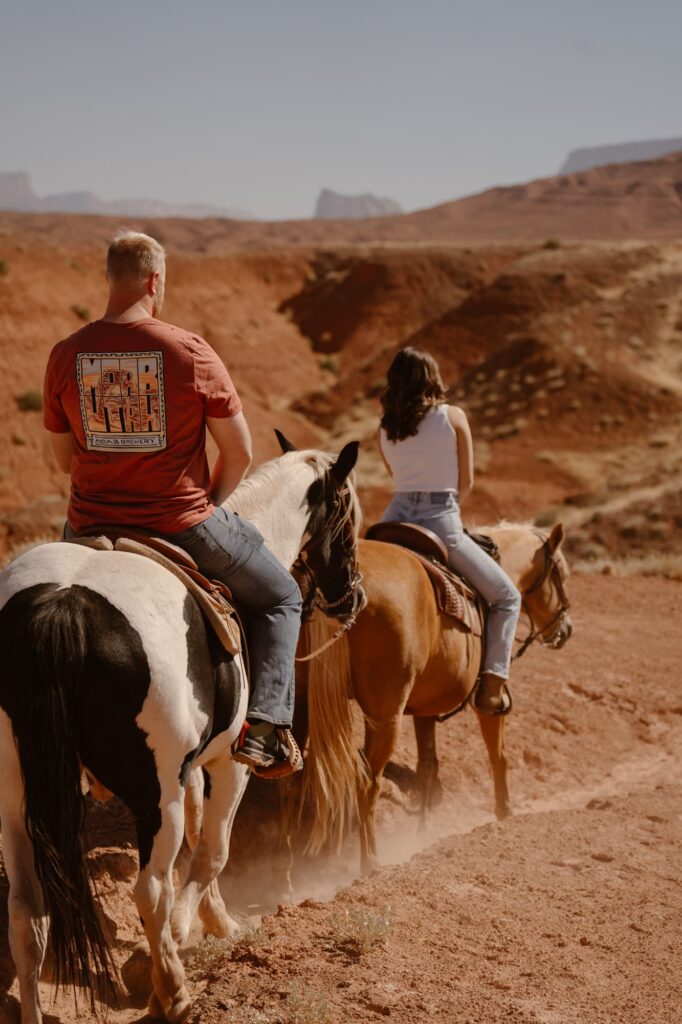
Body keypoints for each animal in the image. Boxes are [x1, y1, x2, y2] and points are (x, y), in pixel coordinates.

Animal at [0, 444, 360, 1024]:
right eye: (350, 518)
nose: (353, 597)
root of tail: (63, 605)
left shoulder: (193, 769)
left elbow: (199, 839)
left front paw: (218, 922)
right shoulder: (229, 764)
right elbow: (213, 849)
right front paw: (189, 931)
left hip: (15, 789)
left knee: (26, 910)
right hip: (155, 795)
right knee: (150, 890)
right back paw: (172, 990)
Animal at [296, 520, 569, 872]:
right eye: (561, 574)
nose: (566, 630)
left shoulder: (424, 712)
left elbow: (427, 767)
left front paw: (423, 834)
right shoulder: (489, 700)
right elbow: (499, 755)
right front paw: (505, 813)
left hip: (299, 705)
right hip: (385, 716)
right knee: (367, 782)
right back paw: (370, 863)